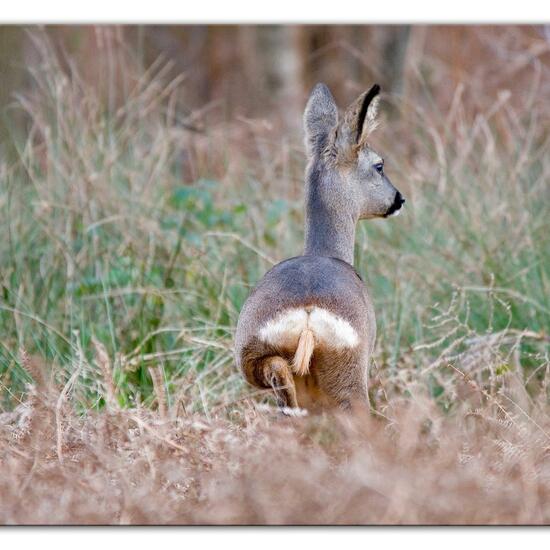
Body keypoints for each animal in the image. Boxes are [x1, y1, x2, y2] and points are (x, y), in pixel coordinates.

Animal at [236, 83, 406, 414]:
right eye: (379, 165)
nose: (399, 199)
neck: (327, 251)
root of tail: (308, 313)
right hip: (349, 374)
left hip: (253, 357)